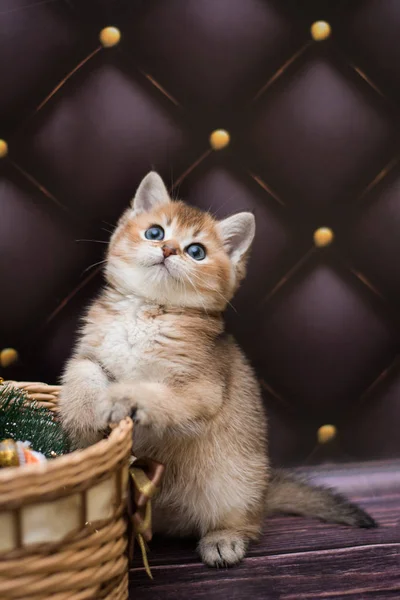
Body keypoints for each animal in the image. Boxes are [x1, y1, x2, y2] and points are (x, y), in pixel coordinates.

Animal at [58, 170, 376, 568]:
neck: (146, 311)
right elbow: (81, 374)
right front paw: (81, 415)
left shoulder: (200, 388)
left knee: (246, 521)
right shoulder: (91, 354)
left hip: (235, 484)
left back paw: (224, 539)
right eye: (155, 232)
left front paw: (125, 397)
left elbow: (154, 392)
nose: (168, 250)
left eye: (196, 252)